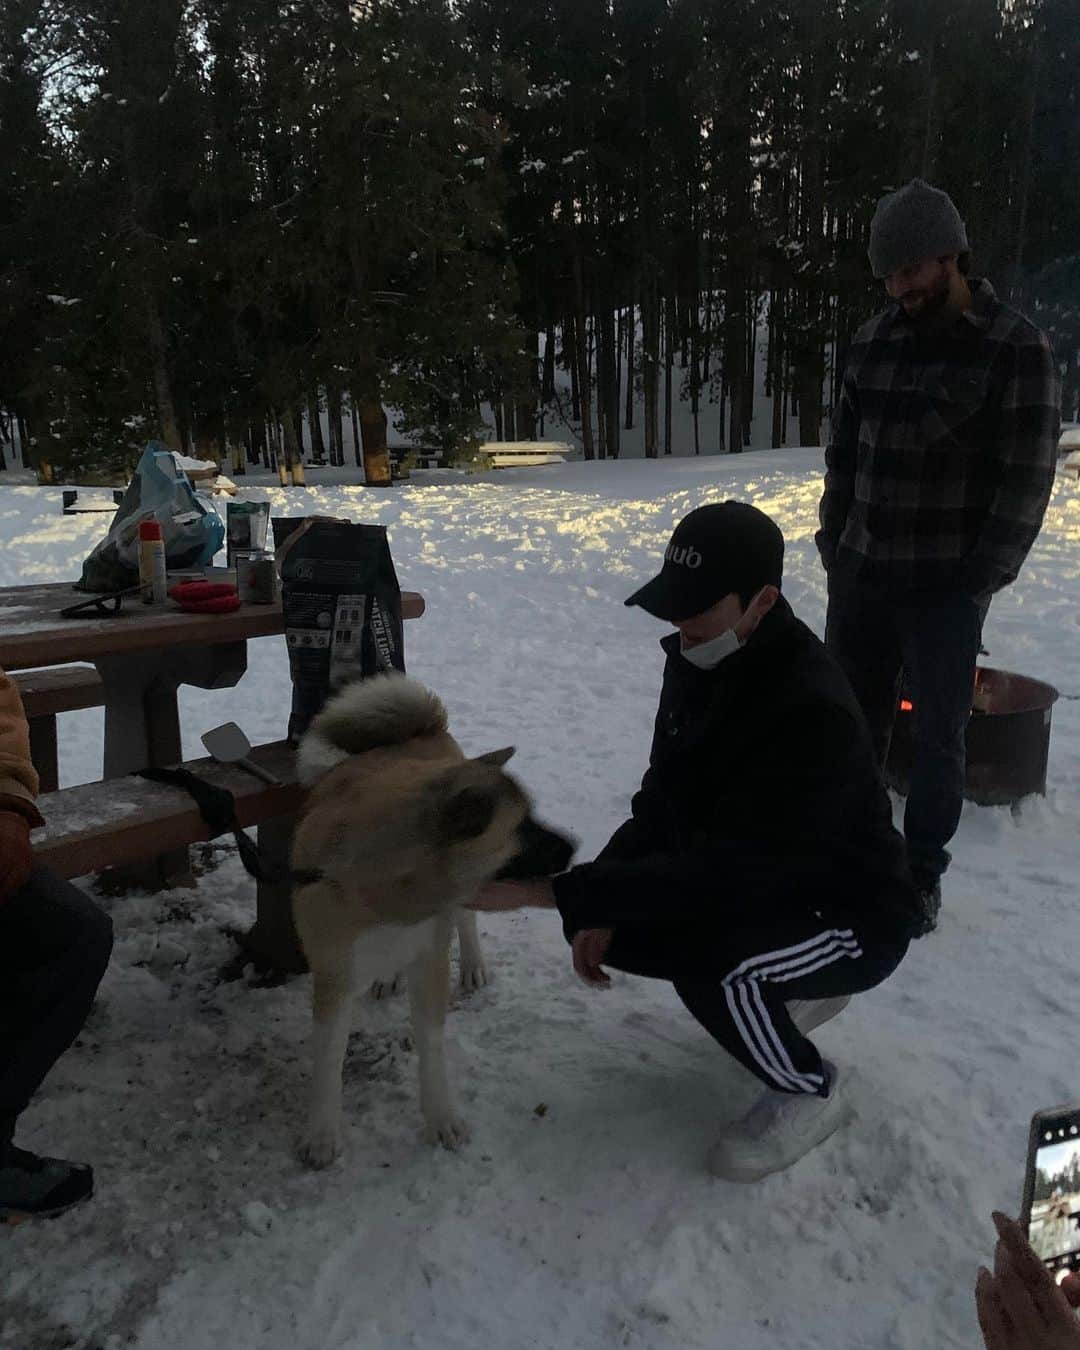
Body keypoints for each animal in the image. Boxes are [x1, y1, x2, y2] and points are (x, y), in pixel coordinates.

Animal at [286, 669, 572, 1166]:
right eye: (523, 828)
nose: (575, 846)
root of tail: (422, 731)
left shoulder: (430, 959)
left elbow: (431, 1044)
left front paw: (441, 1118)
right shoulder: (334, 974)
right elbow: (328, 1058)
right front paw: (322, 1133)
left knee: (465, 923)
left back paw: (473, 965)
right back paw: (388, 978)